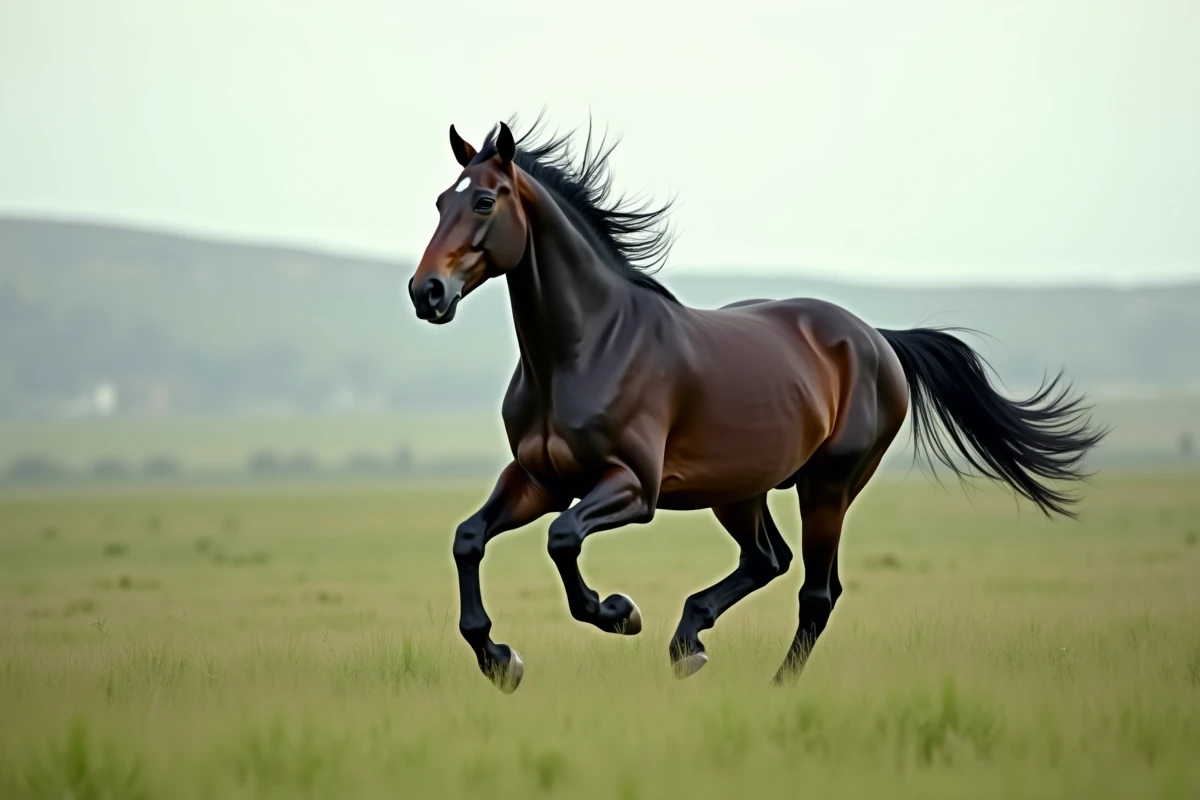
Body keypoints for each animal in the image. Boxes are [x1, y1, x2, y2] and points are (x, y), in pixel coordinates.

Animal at [406, 117, 1107, 693]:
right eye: (441, 201)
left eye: (484, 199)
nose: (426, 292)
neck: (587, 349)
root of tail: (876, 338)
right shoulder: (539, 479)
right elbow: (469, 540)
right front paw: (500, 659)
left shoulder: (632, 487)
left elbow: (563, 539)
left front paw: (619, 612)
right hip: (739, 489)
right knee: (767, 559)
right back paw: (689, 642)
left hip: (827, 485)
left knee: (816, 590)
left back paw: (773, 684)